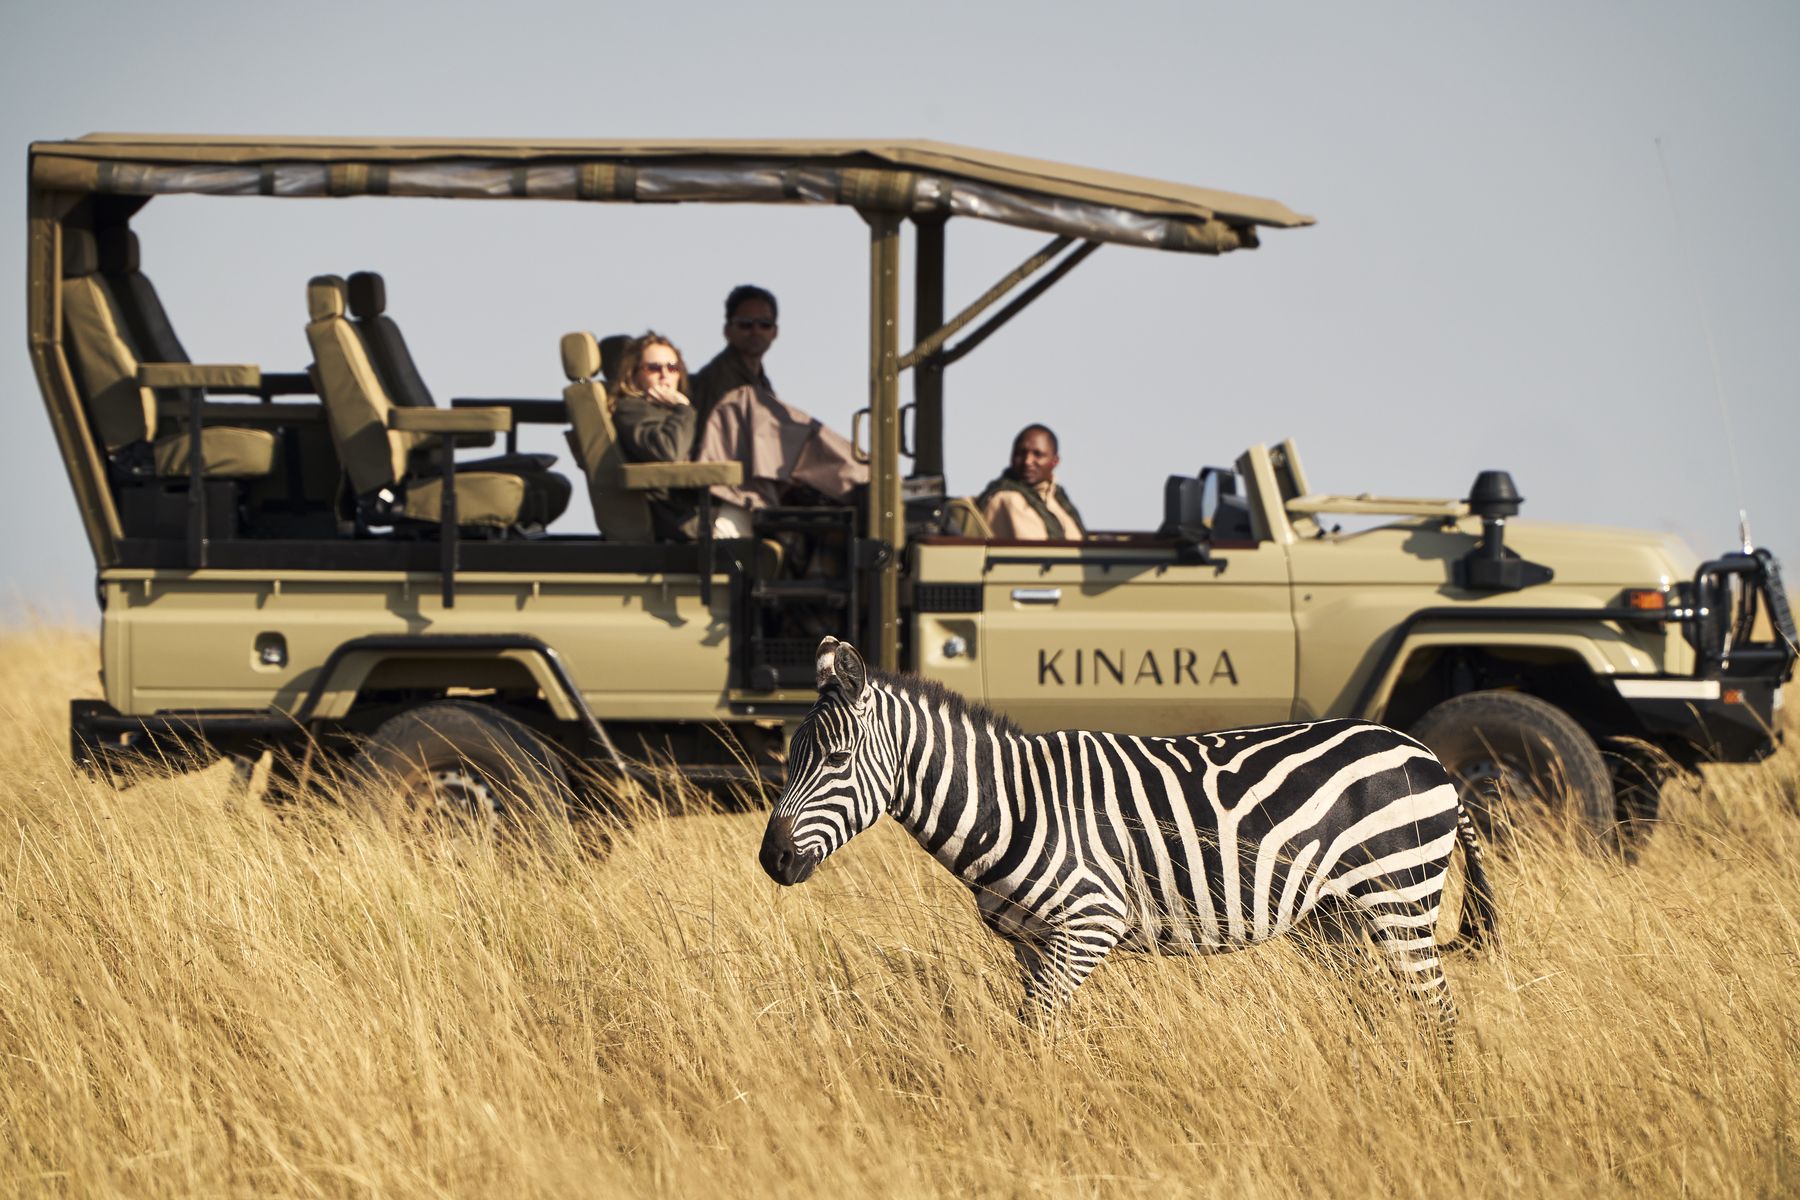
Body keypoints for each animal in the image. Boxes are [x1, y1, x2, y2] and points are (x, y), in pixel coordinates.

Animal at [758, 636, 1499, 1051]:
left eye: (837, 760)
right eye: (789, 758)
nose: (773, 860)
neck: (1012, 803)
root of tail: (1427, 755)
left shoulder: (1090, 921)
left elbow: (1032, 1033)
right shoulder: (1035, 942)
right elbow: (1041, 1034)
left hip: (1399, 895)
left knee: (1437, 1011)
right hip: (1336, 921)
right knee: (1380, 1011)